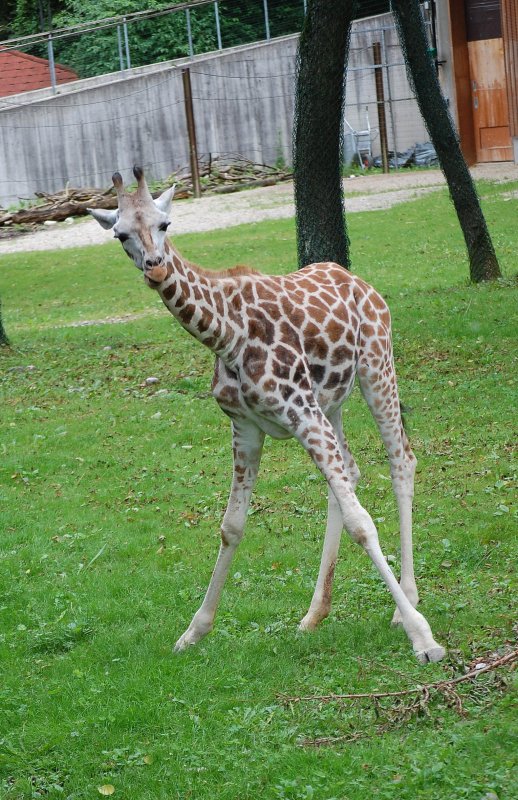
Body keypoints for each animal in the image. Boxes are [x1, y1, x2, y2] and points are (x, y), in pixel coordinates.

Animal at [88, 167, 446, 664]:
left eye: (165, 223)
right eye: (120, 233)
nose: (156, 266)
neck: (225, 334)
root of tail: (358, 281)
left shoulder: (300, 410)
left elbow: (362, 522)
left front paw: (423, 638)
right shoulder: (246, 426)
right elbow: (232, 526)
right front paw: (194, 631)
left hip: (376, 366)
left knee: (401, 460)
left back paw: (404, 604)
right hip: (330, 402)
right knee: (350, 471)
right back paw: (314, 614)